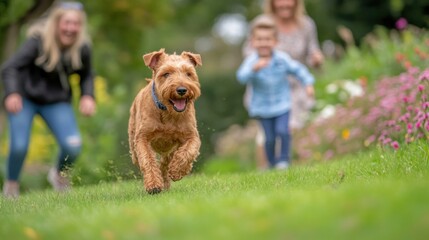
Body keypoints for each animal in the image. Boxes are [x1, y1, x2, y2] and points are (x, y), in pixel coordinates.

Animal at [128, 47, 201, 194]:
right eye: (166, 74)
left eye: (188, 73)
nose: (182, 89)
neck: (167, 112)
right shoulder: (142, 138)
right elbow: (148, 160)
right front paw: (153, 185)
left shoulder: (191, 135)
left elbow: (188, 152)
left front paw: (177, 171)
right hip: (133, 145)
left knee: (165, 163)